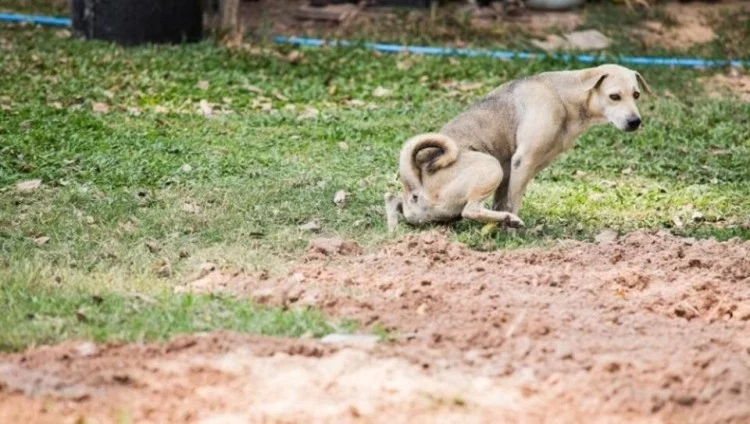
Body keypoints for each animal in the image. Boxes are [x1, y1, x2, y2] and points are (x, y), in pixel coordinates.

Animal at [388, 63, 652, 232]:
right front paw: (511, 231)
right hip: (490, 165)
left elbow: (501, 199)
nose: (635, 122)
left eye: (636, 95)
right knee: (470, 210)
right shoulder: (522, 162)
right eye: (614, 96)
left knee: (392, 199)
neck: (564, 95)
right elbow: (512, 202)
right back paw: (509, 220)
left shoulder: (509, 169)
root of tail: (415, 185)